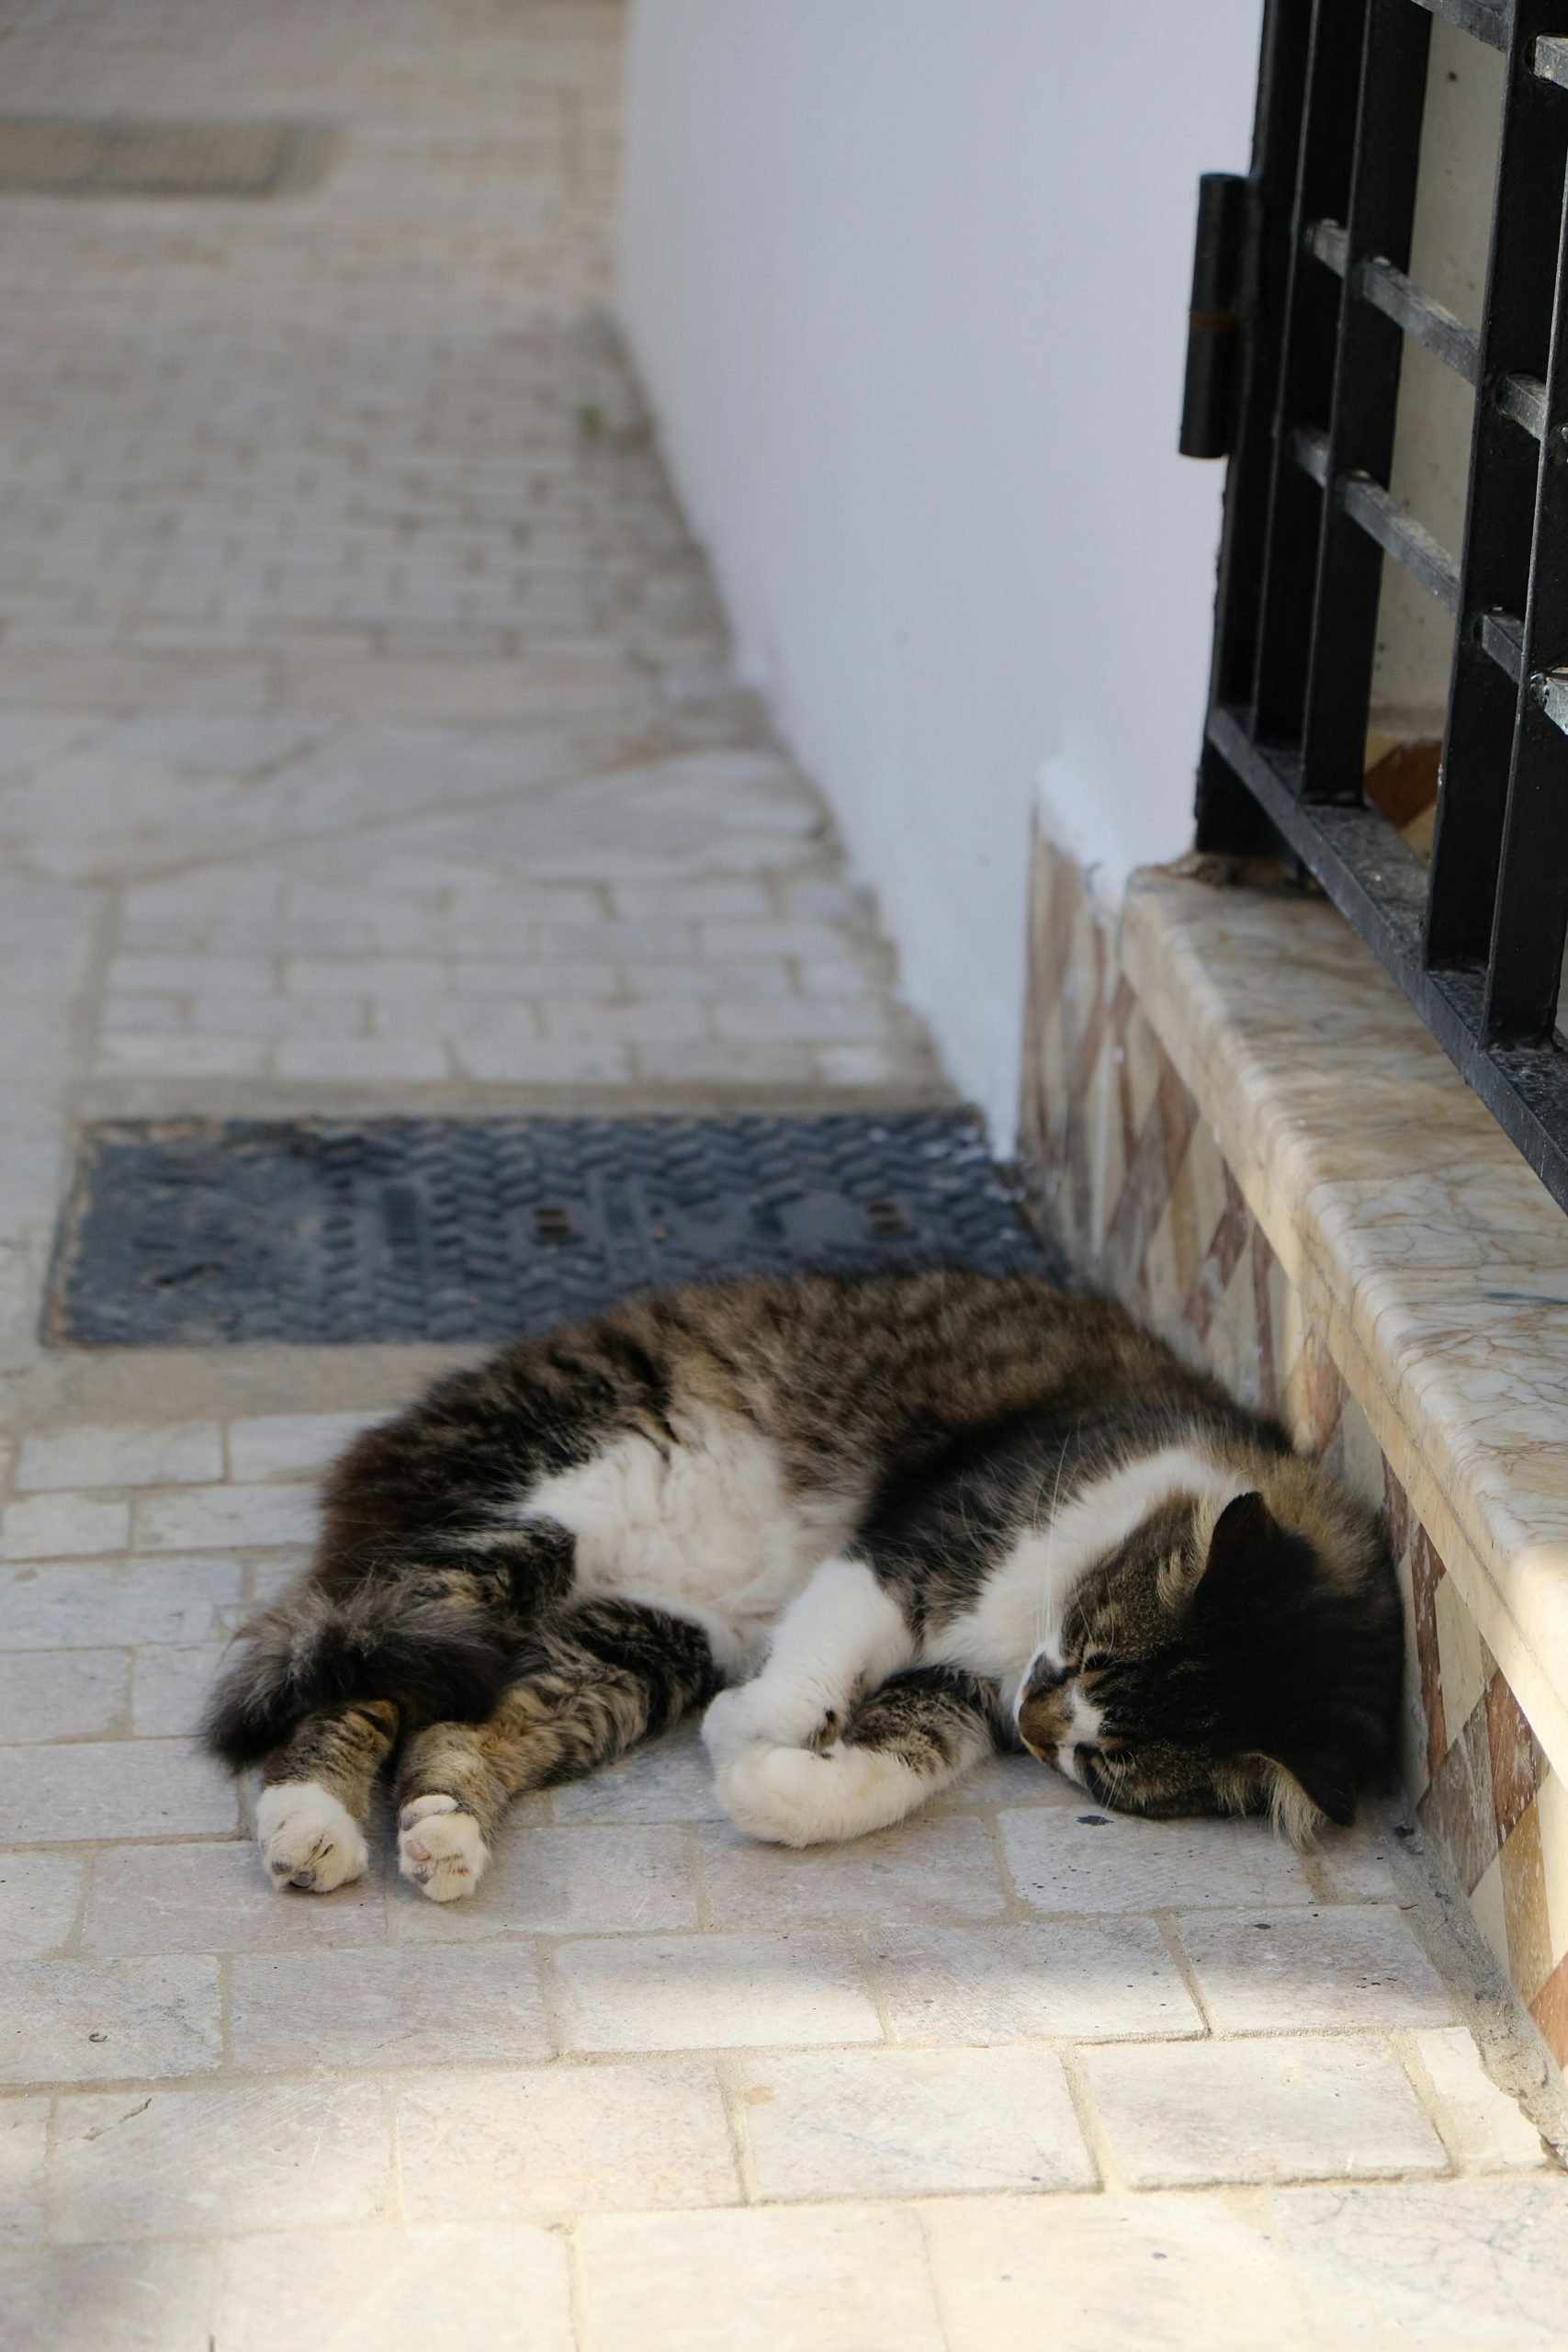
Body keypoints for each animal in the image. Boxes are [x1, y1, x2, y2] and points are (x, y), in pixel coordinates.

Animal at [205, 1261, 1401, 1900]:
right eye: (1090, 1648)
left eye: (1101, 1765)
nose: (1035, 1717)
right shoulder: (913, 1544)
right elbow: (823, 1655)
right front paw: (753, 1734)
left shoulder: (956, 1687)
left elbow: (887, 1768)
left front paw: (778, 1788)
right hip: (522, 1532)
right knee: (351, 1692)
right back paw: (310, 1825)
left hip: (632, 1647)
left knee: (456, 1731)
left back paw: (443, 1835)